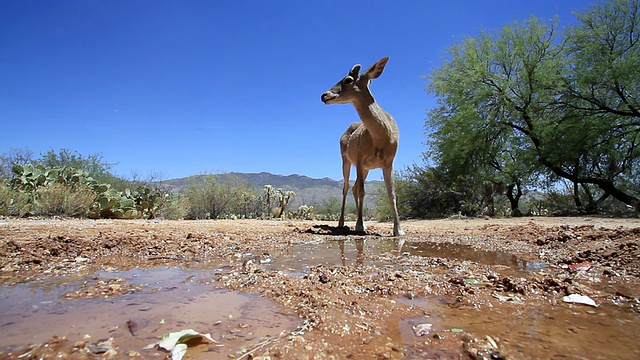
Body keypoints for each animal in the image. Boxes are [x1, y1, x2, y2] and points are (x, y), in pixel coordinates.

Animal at [320, 56, 404, 236]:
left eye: (348, 79)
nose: (324, 95)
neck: (380, 137)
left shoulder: (388, 162)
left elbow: (391, 193)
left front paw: (398, 230)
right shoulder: (359, 158)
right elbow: (362, 191)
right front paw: (359, 226)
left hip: (365, 168)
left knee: (353, 187)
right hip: (345, 160)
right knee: (346, 187)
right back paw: (342, 223)